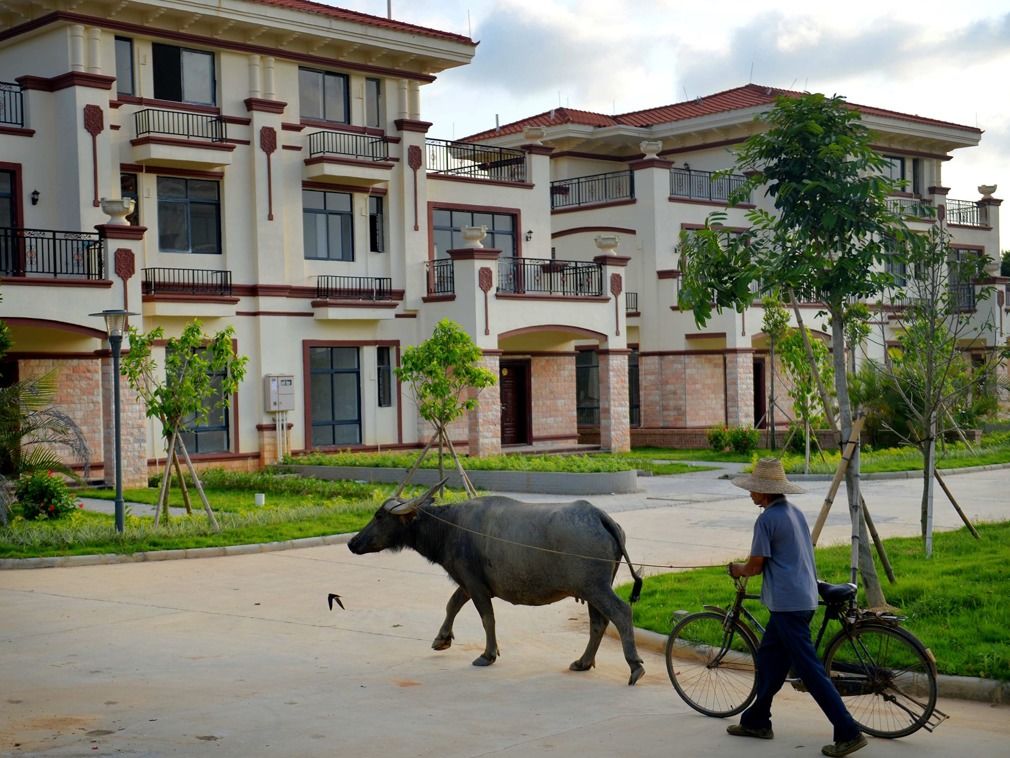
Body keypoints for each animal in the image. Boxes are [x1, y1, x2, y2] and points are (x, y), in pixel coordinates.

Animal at [351, 481, 642, 687]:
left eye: (379, 516)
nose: (353, 543)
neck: (451, 527)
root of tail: (599, 515)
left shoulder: (475, 584)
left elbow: (486, 617)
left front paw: (487, 655)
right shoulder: (467, 583)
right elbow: (452, 604)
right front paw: (441, 639)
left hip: (596, 586)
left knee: (621, 612)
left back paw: (635, 667)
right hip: (591, 589)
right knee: (598, 622)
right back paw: (583, 662)